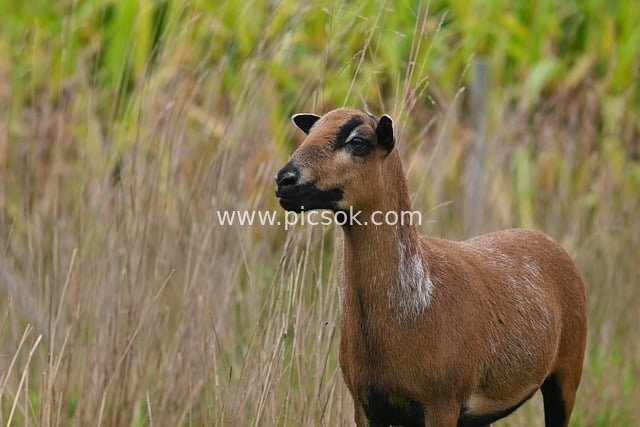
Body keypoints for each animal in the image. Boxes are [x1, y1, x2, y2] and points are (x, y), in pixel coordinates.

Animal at [275, 108, 587, 427]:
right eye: (310, 133)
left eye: (358, 142)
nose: (284, 179)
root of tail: (546, 238)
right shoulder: (363, 403)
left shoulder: (442, 401)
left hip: (568, 371)